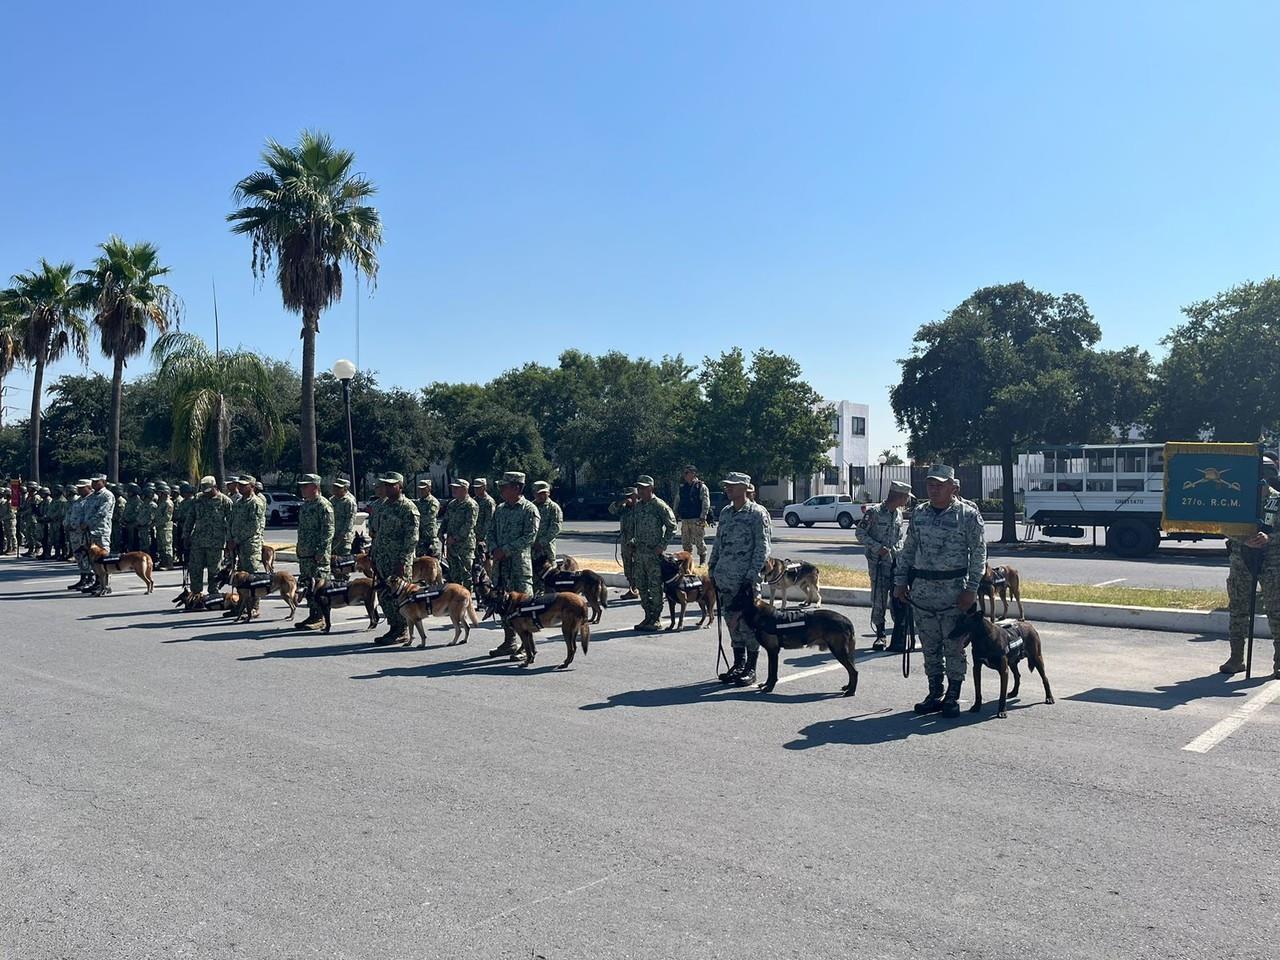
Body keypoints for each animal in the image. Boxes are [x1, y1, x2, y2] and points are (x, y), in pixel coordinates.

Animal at [732, 578, 860, 701]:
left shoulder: (773, 652)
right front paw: (766, 684)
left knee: (854, 671)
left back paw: (851, 691)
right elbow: (770, 671)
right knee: (852, 670)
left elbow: (773, 672)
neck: (759, 614)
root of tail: (847, 621)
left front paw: (769, 687)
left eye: (737, 600)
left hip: (839, 651)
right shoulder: (771, 652)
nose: (727, 607)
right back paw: (848, 687)